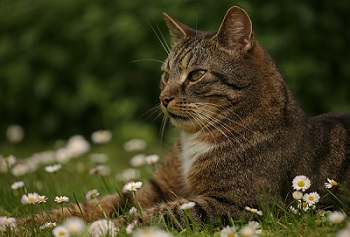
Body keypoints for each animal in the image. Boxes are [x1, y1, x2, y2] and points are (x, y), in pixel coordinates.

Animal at [21, 4, 350, 230]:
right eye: (166, 75)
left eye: (196, 75)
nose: (163, 98)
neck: (195, 141)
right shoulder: (155, 188)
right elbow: (95, 204)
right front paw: (24, 222)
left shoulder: (245, 204)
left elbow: (160, 214)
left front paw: (104, 227)